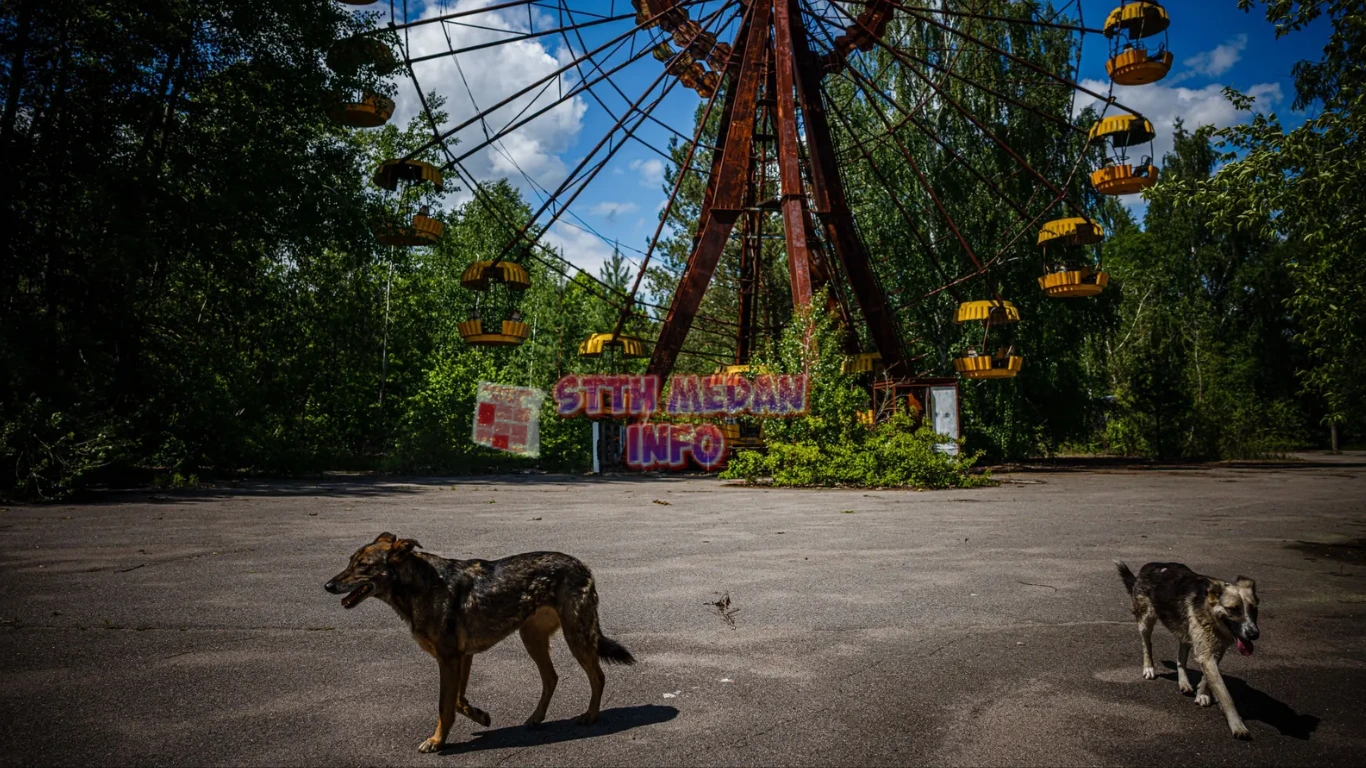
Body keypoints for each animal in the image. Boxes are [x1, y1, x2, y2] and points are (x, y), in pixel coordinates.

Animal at [325, 532, 633, 748]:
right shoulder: (462, 657)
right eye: (350, 561)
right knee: (552, 678)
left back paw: (590, 715)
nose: (328, 585)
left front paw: (437, 742)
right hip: (531, 638)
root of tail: (582, 565)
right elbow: (458, 701)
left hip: (575, 636)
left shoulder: (449, 659)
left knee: (597, 676)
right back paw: (536, 718)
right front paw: (479, 715)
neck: (422, 586)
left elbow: (444, 704)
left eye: (363, 566)